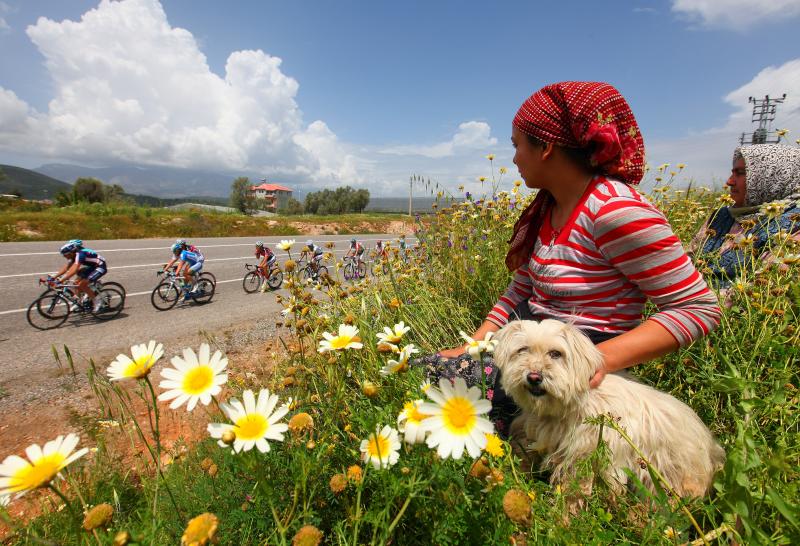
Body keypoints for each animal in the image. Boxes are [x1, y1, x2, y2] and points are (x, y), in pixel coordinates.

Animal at [494, 316, 724, 500]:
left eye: (555, 353)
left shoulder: (584, 457)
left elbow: (574, 491)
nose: (534, 377)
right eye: (522, 350)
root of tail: (712, 451)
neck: (567, 407)